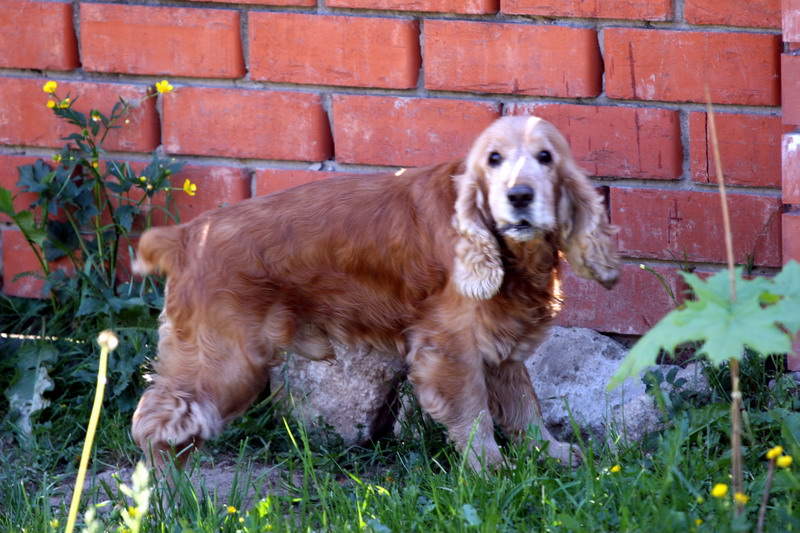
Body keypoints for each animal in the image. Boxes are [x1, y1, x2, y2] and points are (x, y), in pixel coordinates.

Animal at [130, 116, 620, 470]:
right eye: (494, 159)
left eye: (545, 157)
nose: (519, 196)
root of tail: (188, 235)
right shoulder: (449, 349)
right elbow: (475, 414)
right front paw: (490, 470)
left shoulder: (501, 346)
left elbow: (525, 408)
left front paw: (551, 452)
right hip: (228, 361)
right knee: (156, 422)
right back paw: (170, 496)